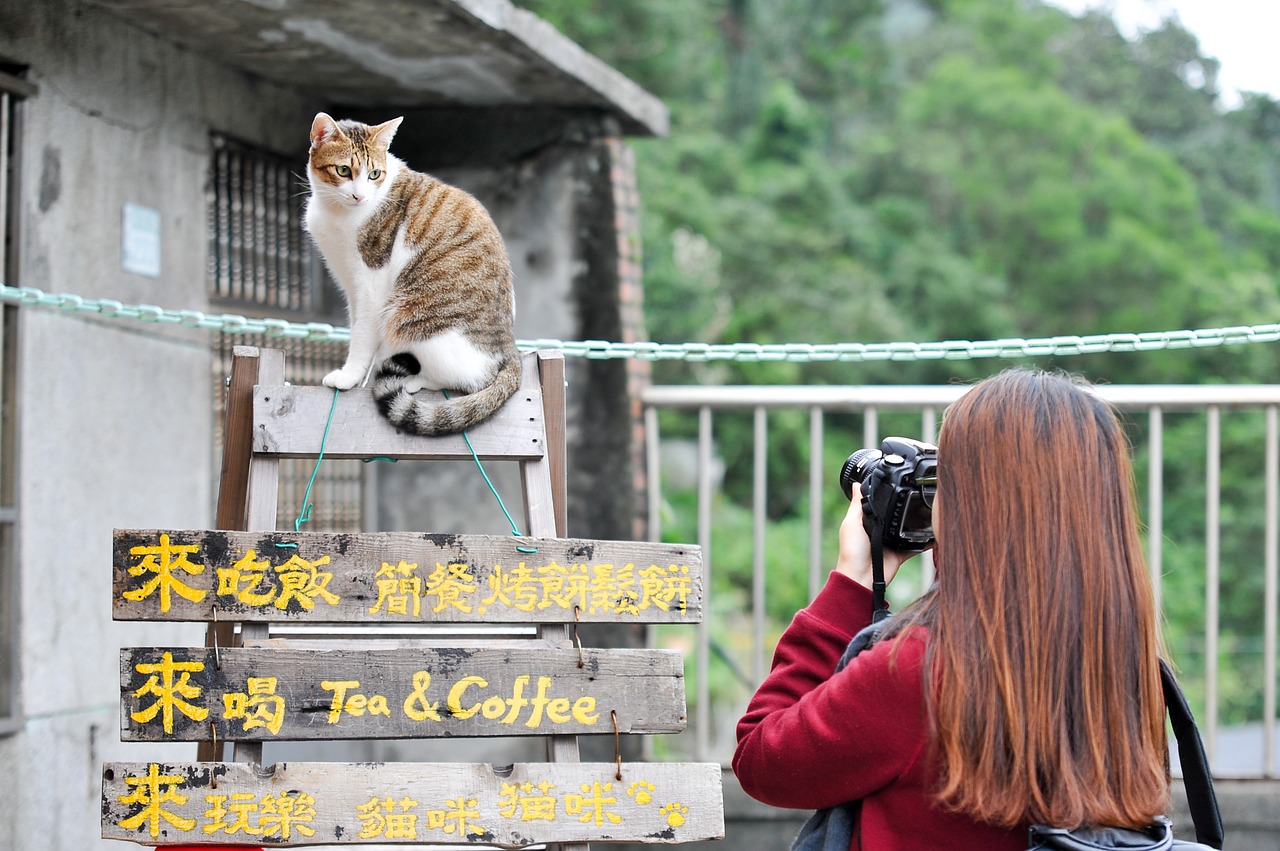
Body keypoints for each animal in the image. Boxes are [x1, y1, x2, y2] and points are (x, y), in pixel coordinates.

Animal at [303, 112, 519, 435]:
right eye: (343, 170)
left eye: (374, 174)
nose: (359, 196)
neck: (336, 210)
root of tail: (509, 348)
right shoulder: (350, 284)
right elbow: (359, 328)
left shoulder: (371, 283)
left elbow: (363, 335)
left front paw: (349, 376)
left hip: (407, 317)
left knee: (468, 379)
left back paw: (416, 381)